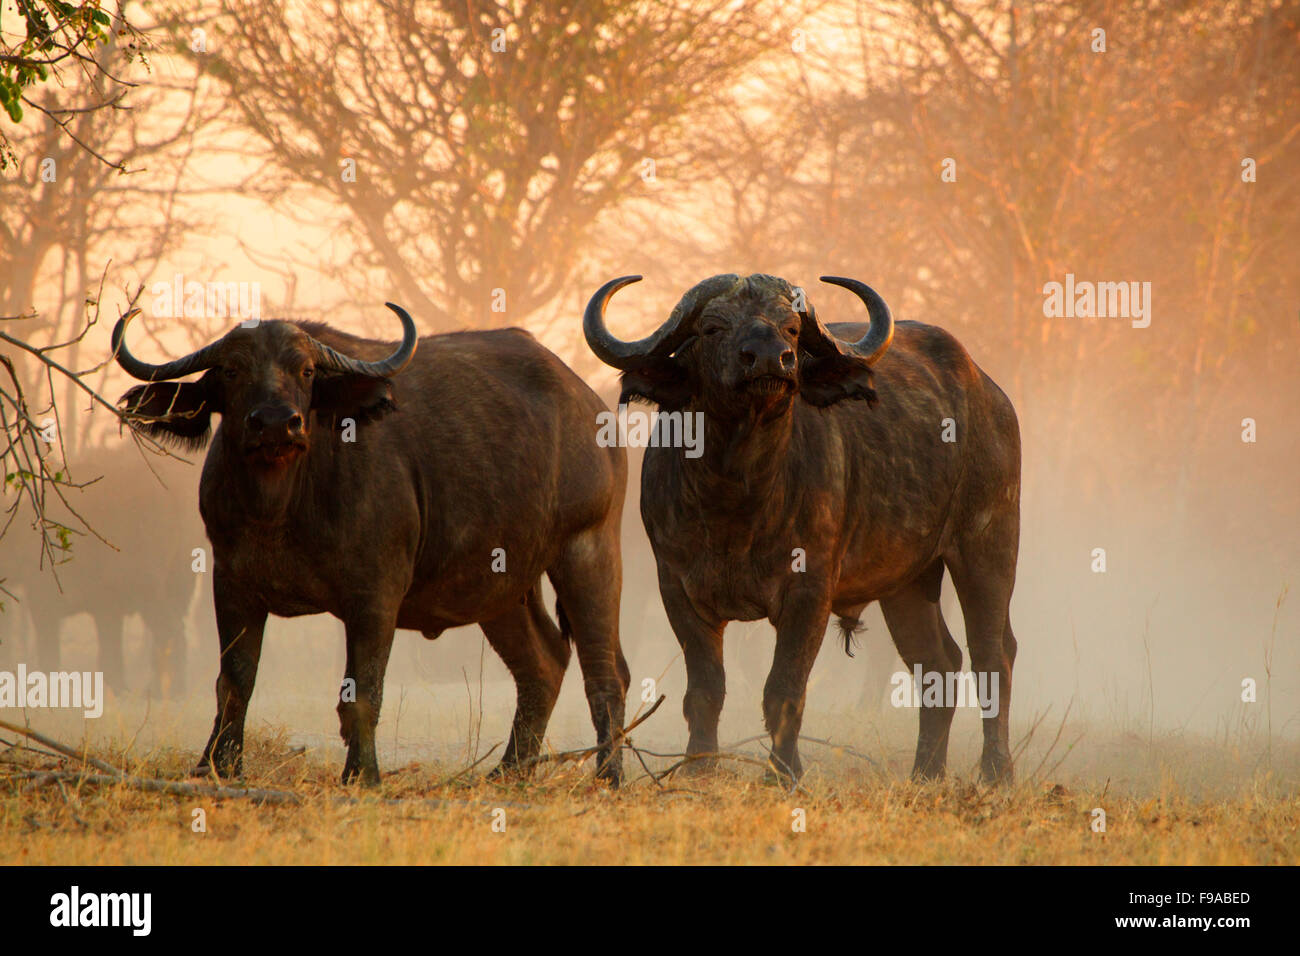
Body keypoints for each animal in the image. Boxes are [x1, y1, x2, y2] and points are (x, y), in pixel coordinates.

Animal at [585, 274, 1019, 785]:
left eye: (791, 329)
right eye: (711, 328)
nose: (770, 358)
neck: (738, 497)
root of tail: (989, 394)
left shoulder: (810, 592)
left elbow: (785, 688)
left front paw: (783, 773)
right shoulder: (677, 589)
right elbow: (706, 690)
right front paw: (699, 768)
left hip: (988, 545)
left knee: (992, 654)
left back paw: (996, 772)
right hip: (909, 580)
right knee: (938, 662)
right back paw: (926, 773)